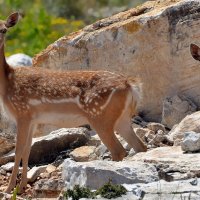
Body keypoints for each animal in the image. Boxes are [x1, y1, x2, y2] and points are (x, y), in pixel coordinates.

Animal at [0, 12, 147, 194]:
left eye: (4, 30)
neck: (7, 83)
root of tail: (130, 86)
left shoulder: (22, 113)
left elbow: (18, 150)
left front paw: (9, 189)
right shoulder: (33, 119)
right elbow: (27, 150)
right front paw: (20, 187)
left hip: (100, 117)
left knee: (118, 150)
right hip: (122, 118)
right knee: (140, 146)